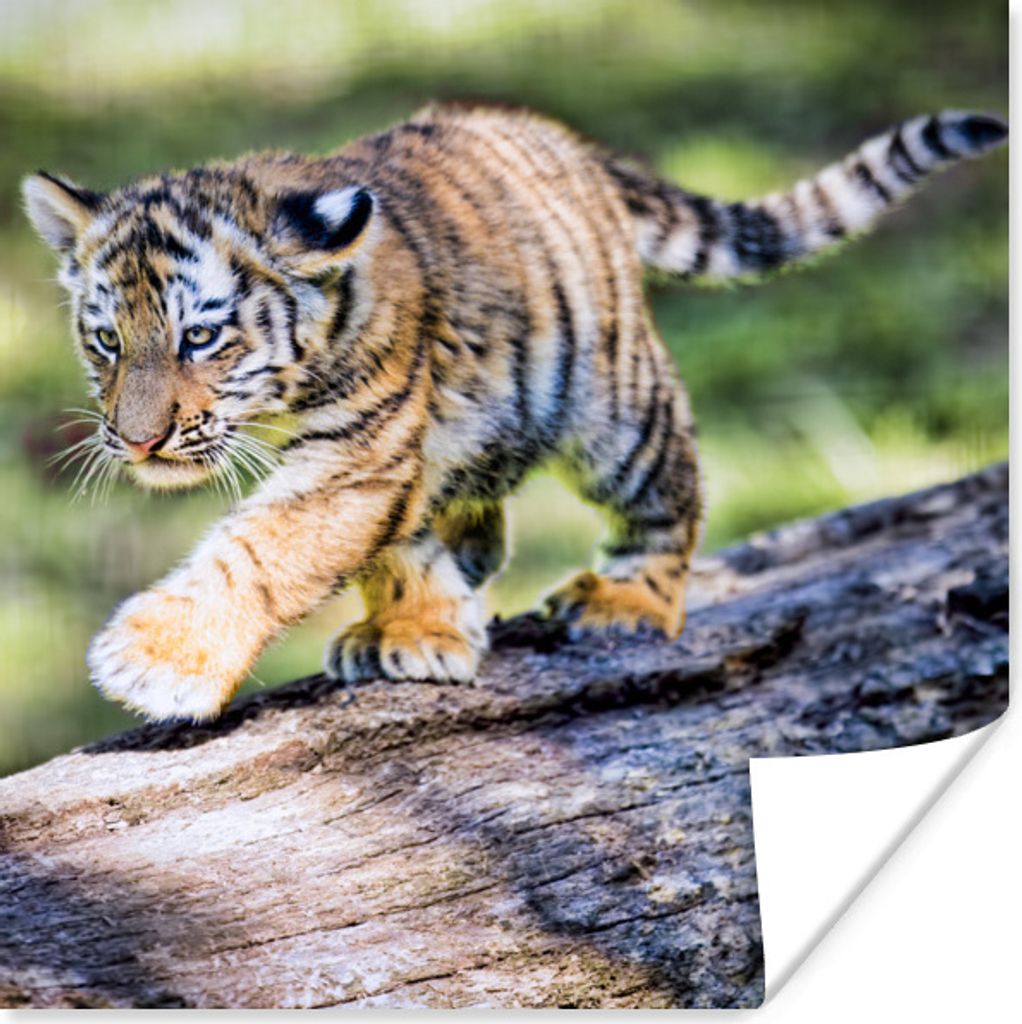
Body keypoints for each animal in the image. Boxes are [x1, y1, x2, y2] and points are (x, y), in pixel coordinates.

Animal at [23, 103, 1006, 721]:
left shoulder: (359, 451)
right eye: (106, 341)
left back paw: (628, 601)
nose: (138, 440)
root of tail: (560, 137)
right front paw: (414, 630)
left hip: (616, 410)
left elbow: (262, 548)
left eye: (199, 338)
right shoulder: (394, 456)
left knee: (671, 496)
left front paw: (156, 660)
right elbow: (392, 548)